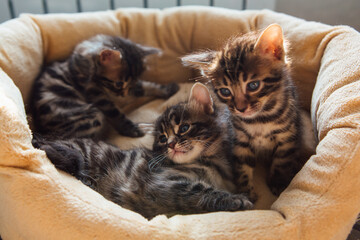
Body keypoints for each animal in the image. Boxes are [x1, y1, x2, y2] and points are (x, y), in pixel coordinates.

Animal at [31, 33, 179, 139]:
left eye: (132, 82)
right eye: (119, 83)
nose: (124, 95)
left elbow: (146, 86)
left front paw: (168, 89)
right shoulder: (96, 94)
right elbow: (115, 113)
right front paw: (131, 129)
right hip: (91, 115)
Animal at [33, 83, 253, 220]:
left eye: (183, 128)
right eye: (162, 138)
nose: (171, 144)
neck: (211, 162)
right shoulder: (163, 183)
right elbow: (202, 191)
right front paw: (238, 199)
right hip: (72, 151)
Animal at [183, 23, 316, 198]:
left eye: (253, 85)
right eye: (225, 91)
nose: (241, 108)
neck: (260, 119)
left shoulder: (287, 138)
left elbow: (281, 162)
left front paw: (278, 183)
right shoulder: (239, 140)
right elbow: (242, 167)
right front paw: (246, 192)